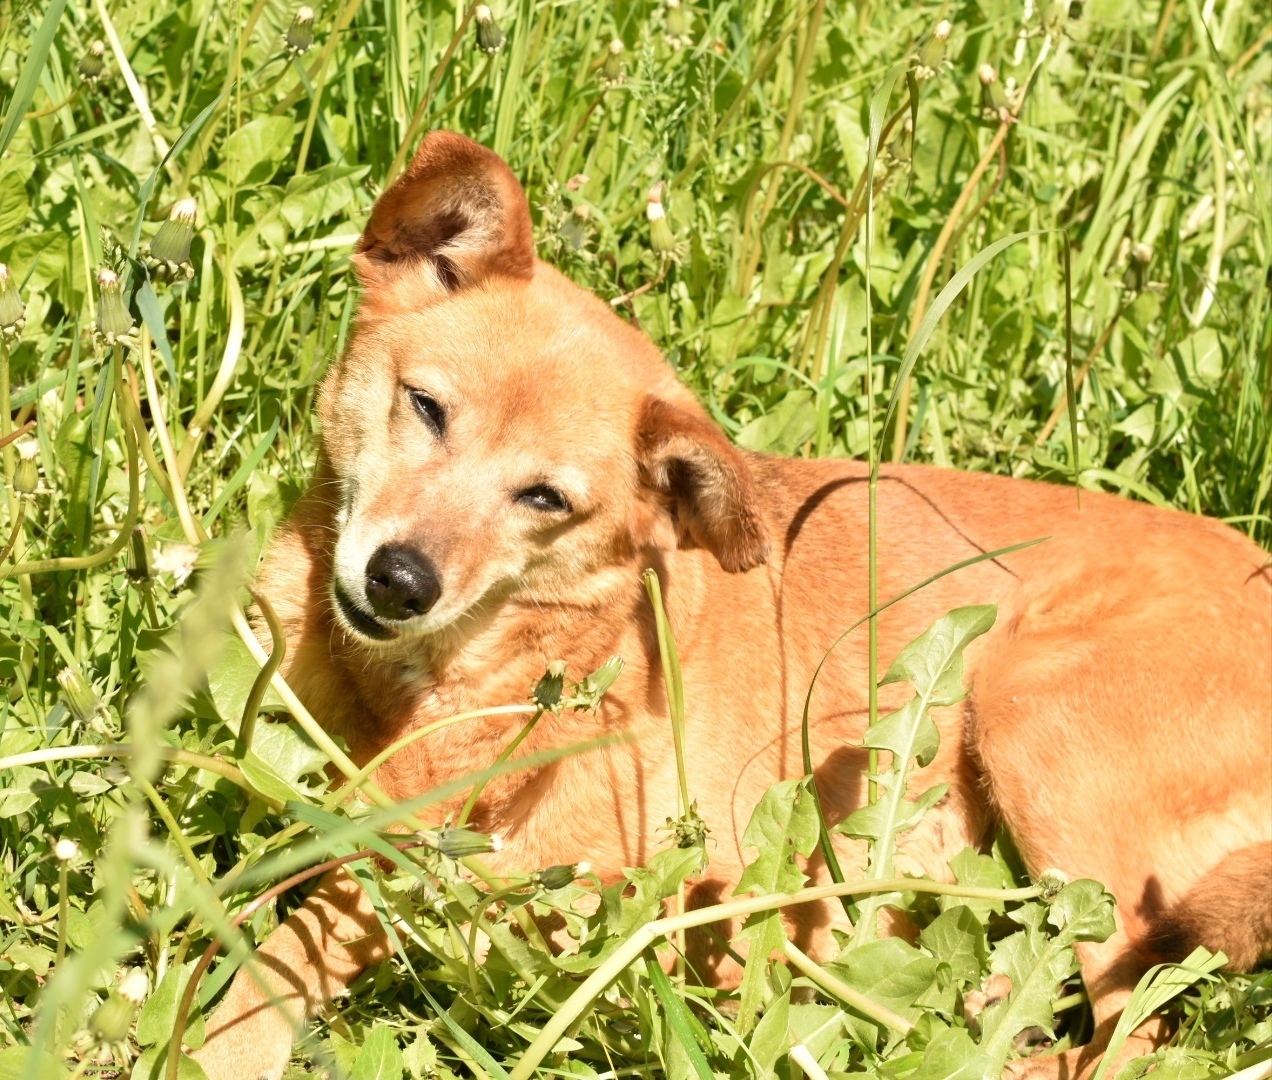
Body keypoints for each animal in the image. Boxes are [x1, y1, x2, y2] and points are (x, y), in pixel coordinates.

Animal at [190, 132, 1272, 1078]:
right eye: (426, 407)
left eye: (544, 498)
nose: (400, 580)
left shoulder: (486, 881)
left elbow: (288, 949)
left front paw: (211, 1039)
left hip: (1033, 716)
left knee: (1137, 1031)